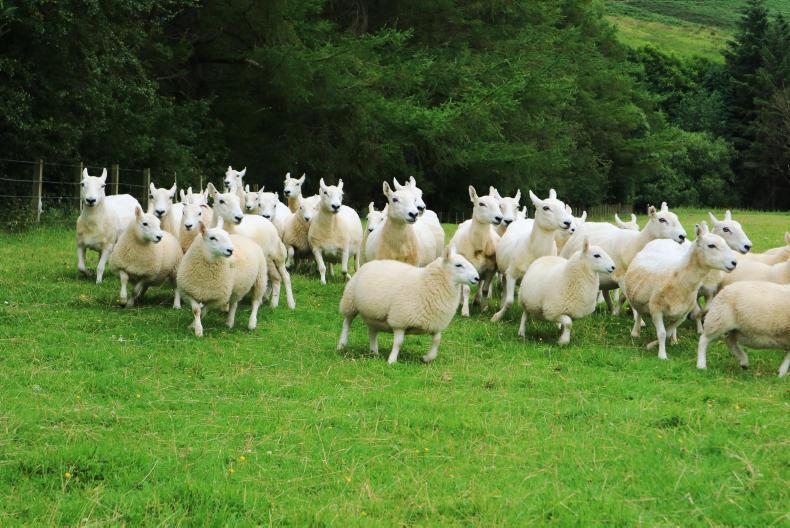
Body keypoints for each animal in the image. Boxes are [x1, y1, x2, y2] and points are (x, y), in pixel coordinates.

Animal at [337, 245, 480, 364]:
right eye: (458, 265)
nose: (477, 278)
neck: (426, 283)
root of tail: (372, 262)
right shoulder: (400, 320)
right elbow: (399, 343)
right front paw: (392, 360)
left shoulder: (435, 324)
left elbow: (437, 341)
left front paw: (427, 358)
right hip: (350, 302)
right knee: (346, 322)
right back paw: (341, 345)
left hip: (374, 314)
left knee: (372, 331)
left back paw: (374, 352)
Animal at [449, 186, 503, 316]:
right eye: (481, 204)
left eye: (499, 205)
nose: (499, 218)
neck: (478, 245)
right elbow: (466, 289)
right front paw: (465, 312)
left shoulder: (490, 269)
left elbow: (485, 289)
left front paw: (484, 309)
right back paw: (461, 302)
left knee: (480, 283)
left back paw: (477, 301)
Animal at [491, 189, 574, 322]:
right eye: (546, 208)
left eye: (562, 205)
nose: (568, 223)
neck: (533, 250)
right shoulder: (511, 274)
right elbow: (509, 301)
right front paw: (497, 316)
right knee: (504, 286)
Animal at [624, 223, 738, 360]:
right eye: (711, 245)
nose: (734, 263)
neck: (678, 278)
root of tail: (662, 240)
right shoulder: (656, 309)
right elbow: (662, 333)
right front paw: (662, 355)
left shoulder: (682, 315)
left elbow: (668, 331)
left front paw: (653, 345)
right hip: (637, 297)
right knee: (639, 312)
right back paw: (635, 332)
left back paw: (674, 340)